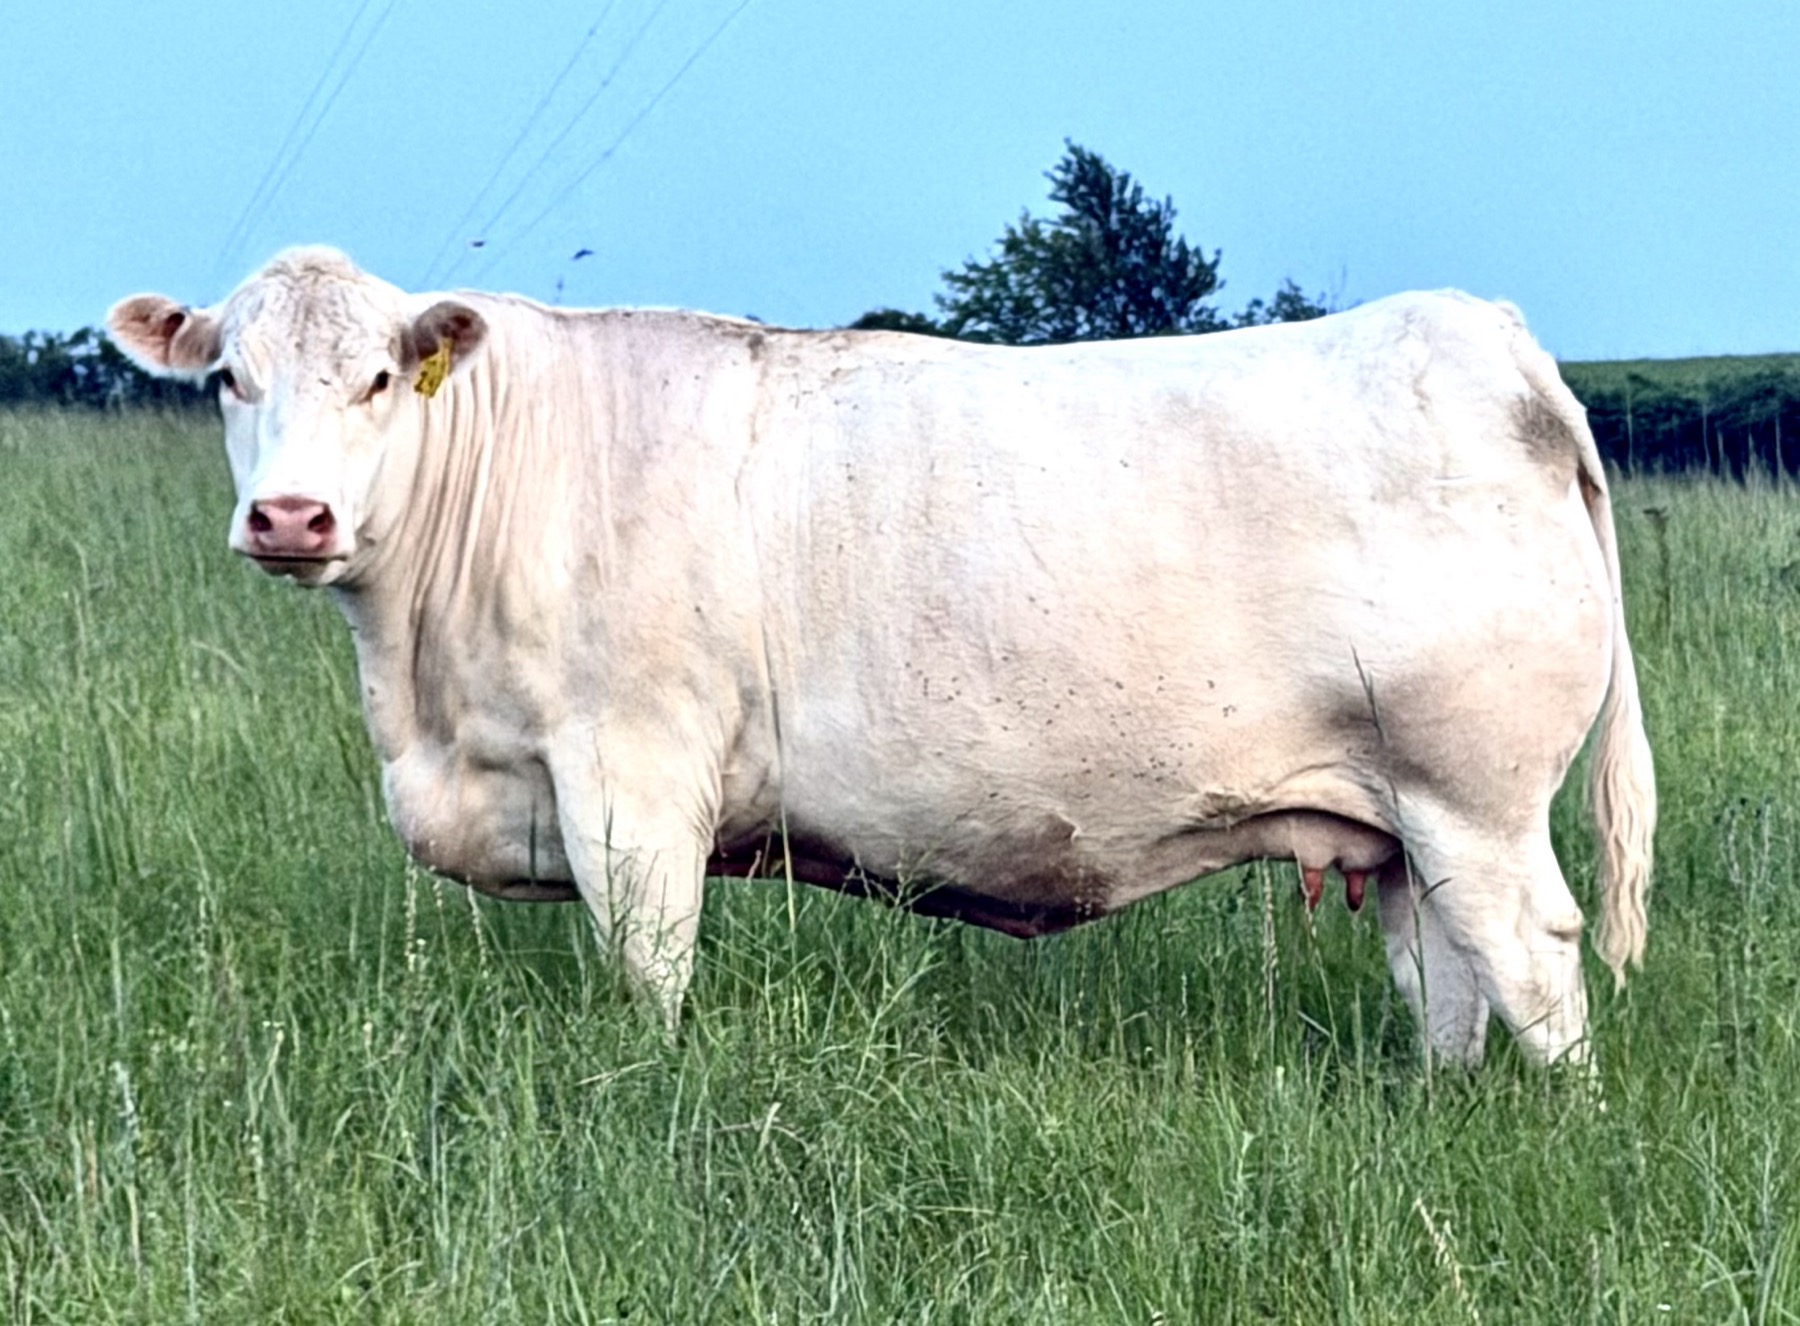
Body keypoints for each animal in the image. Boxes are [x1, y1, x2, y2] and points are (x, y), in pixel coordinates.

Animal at [108, 247, 1655, 1067]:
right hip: (1395, 819)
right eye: (229, 377)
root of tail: (1485, 336)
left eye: (378, 378)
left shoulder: (631, 780)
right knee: (1447, 982)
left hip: (1477, 796)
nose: (291, 515)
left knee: (1537, 960)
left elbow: (648, 974)